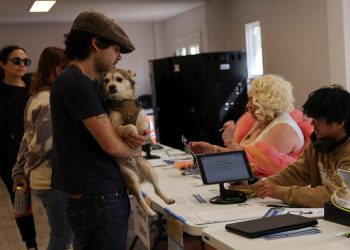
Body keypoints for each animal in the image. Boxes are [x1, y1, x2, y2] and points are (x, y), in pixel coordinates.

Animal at [100, 69, 174, 217]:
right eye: (106, 80)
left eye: (119, 79)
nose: (111, 86)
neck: (124, 100)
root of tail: (140, 178)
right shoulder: (114, 126)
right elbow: (129, 127)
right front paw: (131, 133)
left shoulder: (142, 117)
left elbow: (143, 124)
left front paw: (143, 133)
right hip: (130, 177)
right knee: (139, 197)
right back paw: (149, 211)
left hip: (149, 169)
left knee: (156, 189)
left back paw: (167, 199)